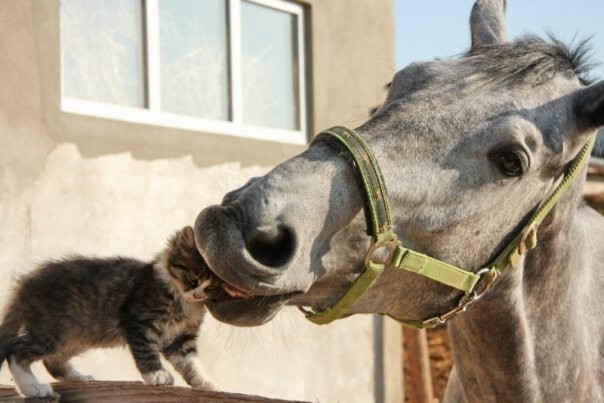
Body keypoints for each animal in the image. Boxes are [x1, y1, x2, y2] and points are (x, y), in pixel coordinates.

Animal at [0, 226, 217, 400]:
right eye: (193, 278)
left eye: (209, 289)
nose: (198, 295)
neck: (183, 301)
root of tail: (26, 282)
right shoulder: (137, 321)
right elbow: (146, 352)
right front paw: (156, 375)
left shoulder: (181, 339)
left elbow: (191, 363)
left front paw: (206, 383)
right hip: (53, 331)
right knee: (15, 350)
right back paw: (33, 388)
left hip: (76, 336)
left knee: (52, 360)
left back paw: (79, 377)